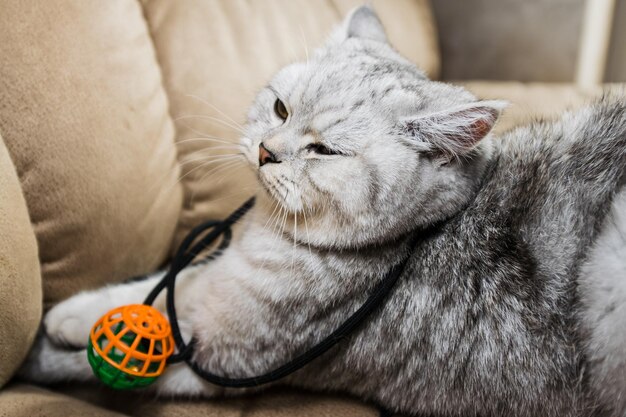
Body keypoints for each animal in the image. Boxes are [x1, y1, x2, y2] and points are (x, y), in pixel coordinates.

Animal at [18, 5, 624, 416]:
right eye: (281, 108)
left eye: (324, 150)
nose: (267, 151)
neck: (265, 231)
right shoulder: (214, 280)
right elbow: (166, 283)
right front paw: (77, 313)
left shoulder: (224, 355)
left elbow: (100, 350)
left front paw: (53, 338)